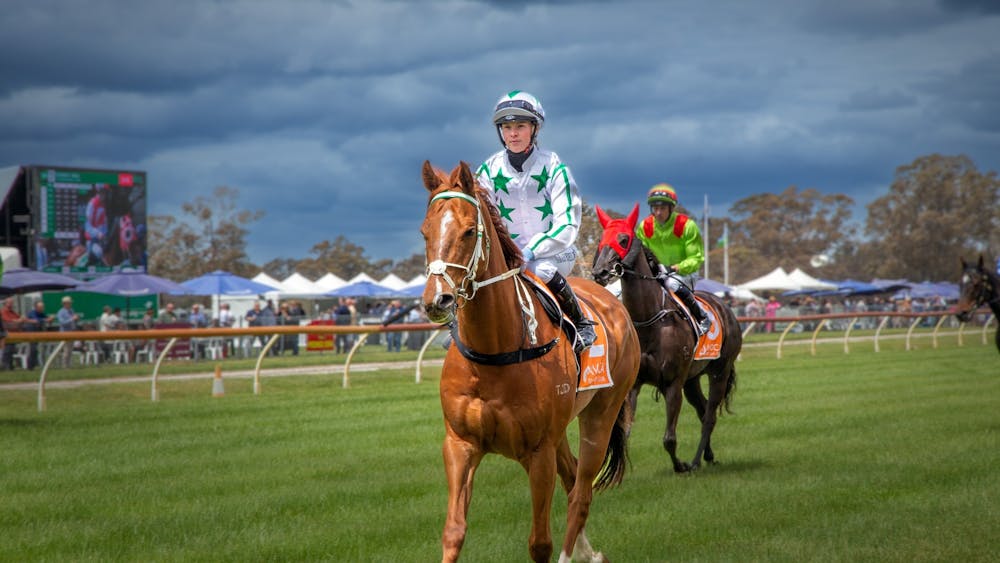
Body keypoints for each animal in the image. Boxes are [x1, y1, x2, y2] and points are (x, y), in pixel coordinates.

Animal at [420, 161, 640, 563]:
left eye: (469, 230)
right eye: (425, 231)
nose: (437, 300)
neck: (494, 353)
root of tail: (614, 302)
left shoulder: (538, 453)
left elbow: (540, 543)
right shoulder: (460, 444)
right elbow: (454, 532)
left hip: (601, 413)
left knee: (581, 494)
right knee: (572, 478)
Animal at [591, 204, 742, 473]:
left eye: (623, 239)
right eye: (601, 240)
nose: (600, 272)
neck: (649, 321)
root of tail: (727, 308)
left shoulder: (673, 384)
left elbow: (669, 438)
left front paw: (680, 465)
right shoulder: (635, 384)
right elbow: (626, 432)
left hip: (719, 372)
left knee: (709, 416)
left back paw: (695, 461)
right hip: (692, 378)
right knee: (703, 410)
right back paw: (708, 456)